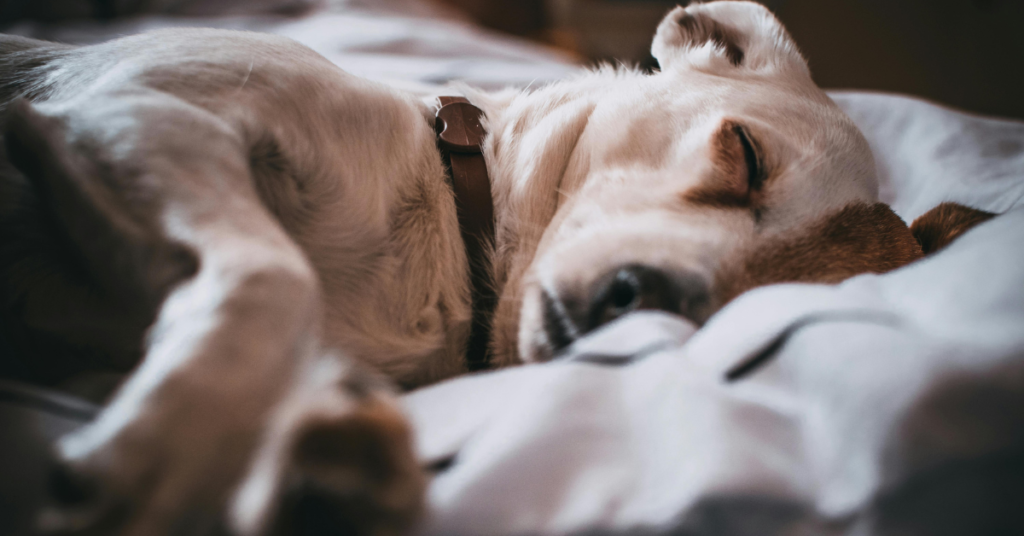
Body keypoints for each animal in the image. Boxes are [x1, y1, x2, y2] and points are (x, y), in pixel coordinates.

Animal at [0, 2, 991, 532]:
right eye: (744, 155)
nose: (638, 299)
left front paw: (325, 474)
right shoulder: (135, 112)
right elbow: (274, 278)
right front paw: (165, 449)